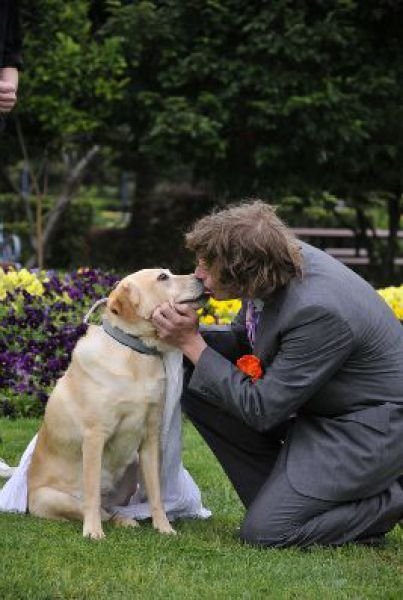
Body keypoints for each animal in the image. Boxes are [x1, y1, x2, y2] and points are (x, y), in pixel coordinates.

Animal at [27, 268, 207, 540]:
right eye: (163, 277)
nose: (201, 278)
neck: (136, 353)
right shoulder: (94, 436)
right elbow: (91, 493)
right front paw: (92, 532)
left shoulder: (151, 437)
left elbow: (156, 493)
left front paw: (164, 527)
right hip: (52, 498)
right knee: (96, 508)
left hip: (132, 464)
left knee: (111, 509)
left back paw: (126, 520)